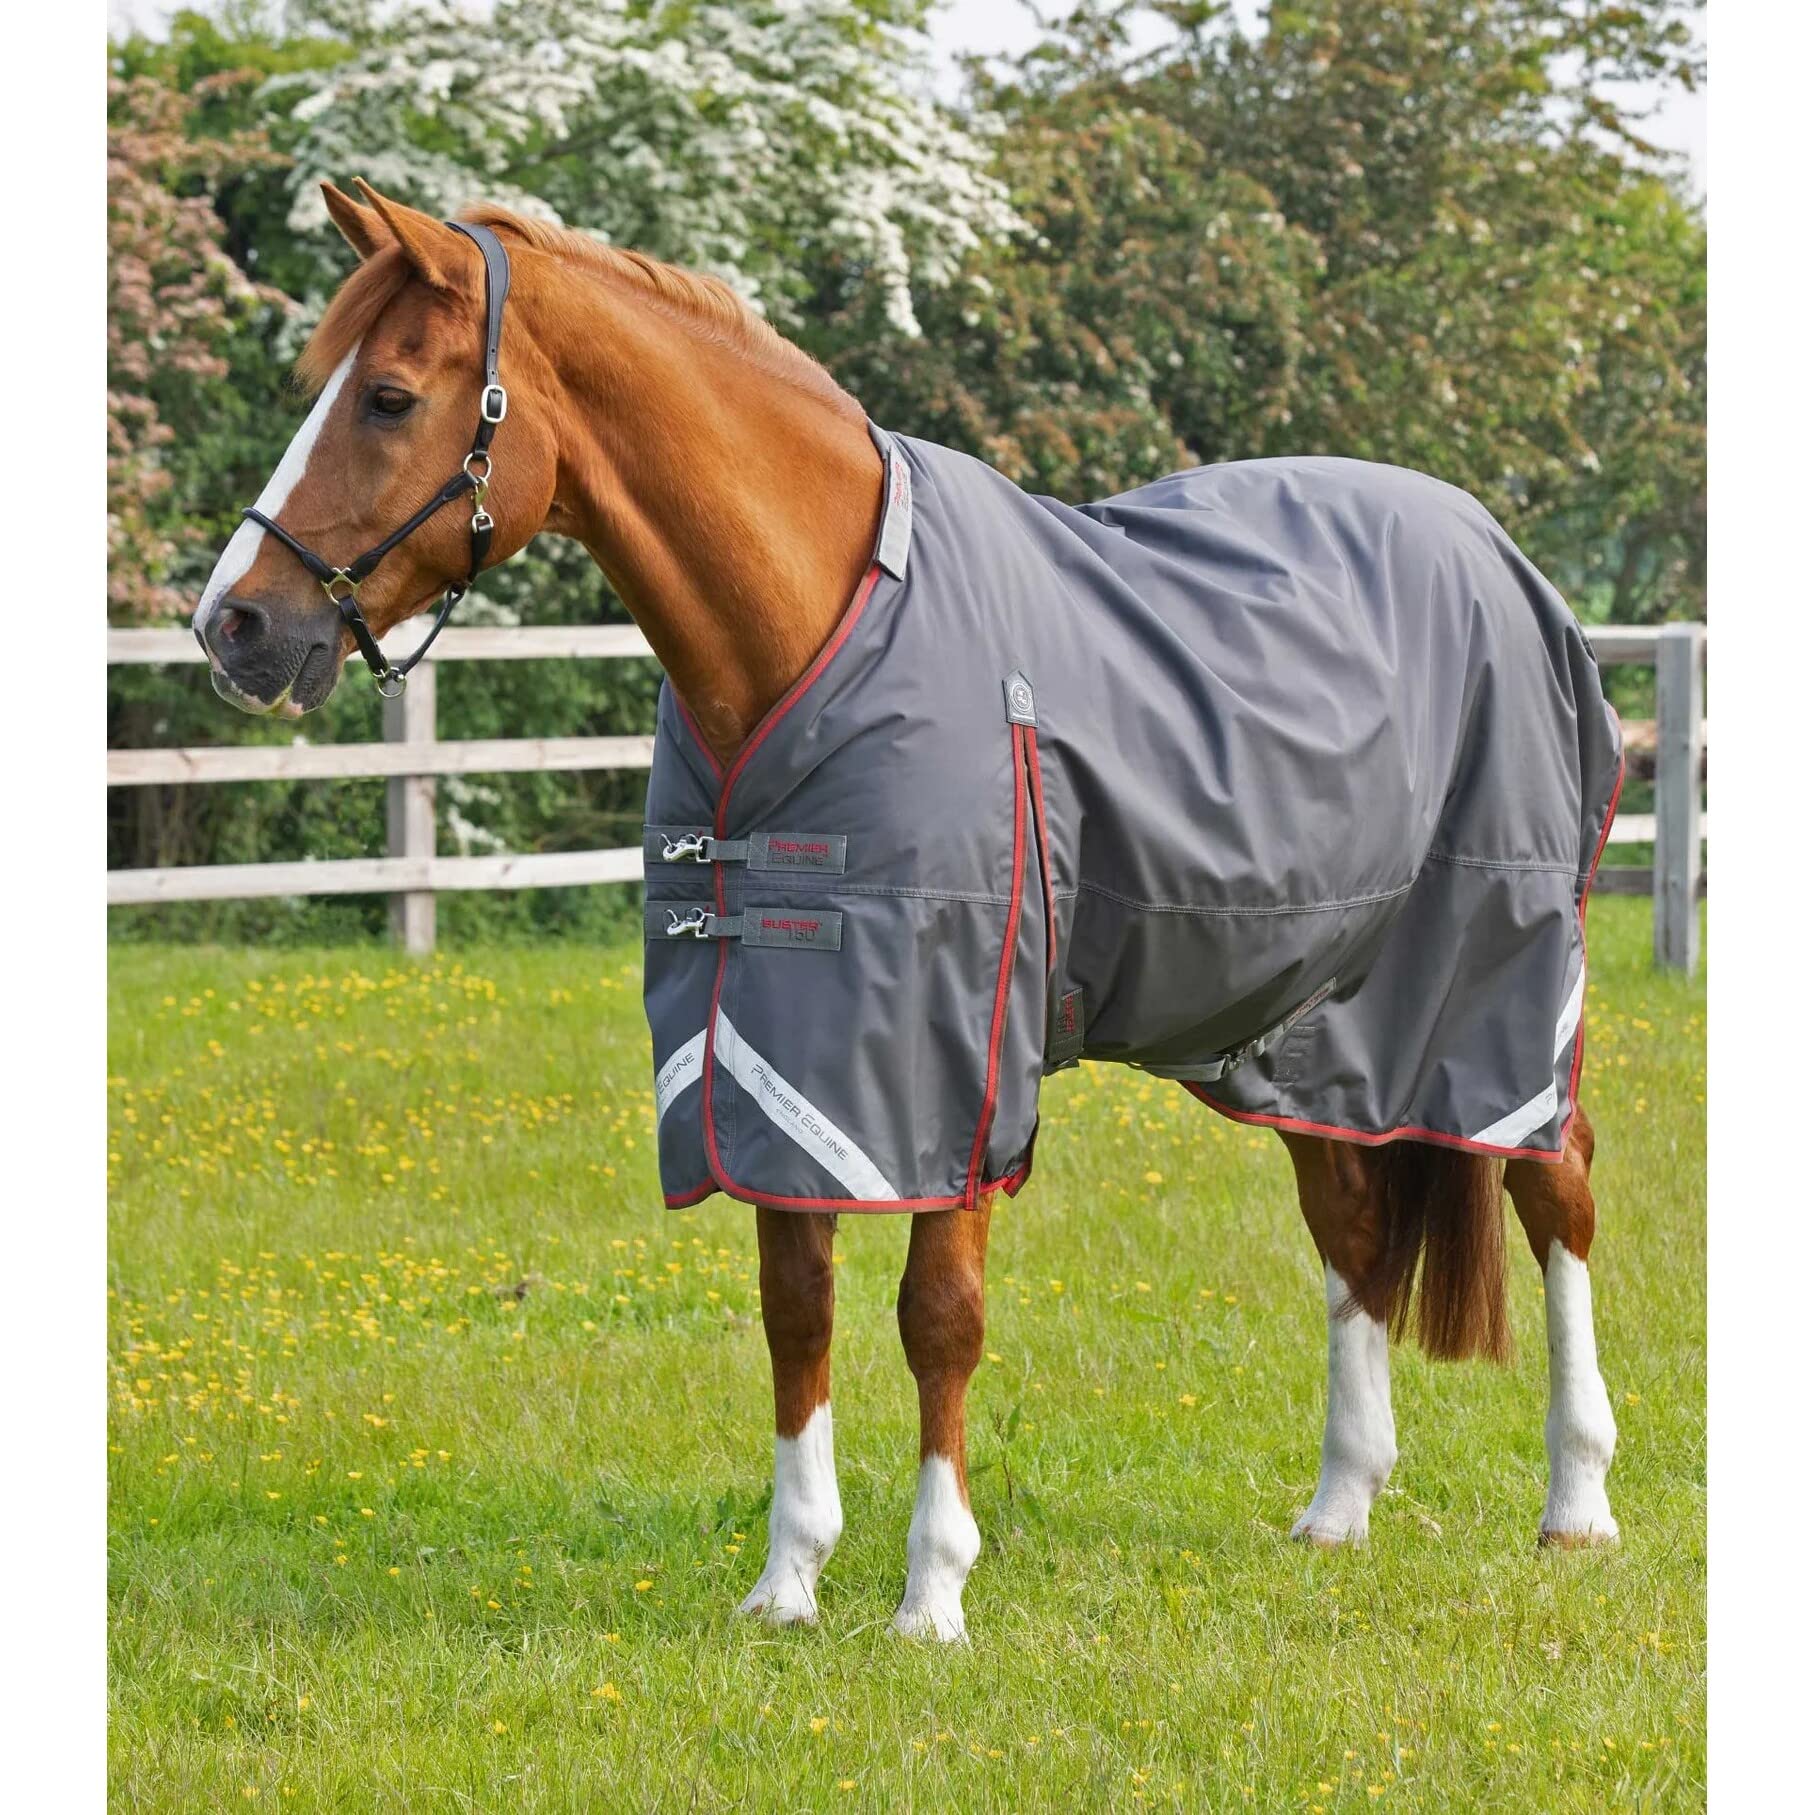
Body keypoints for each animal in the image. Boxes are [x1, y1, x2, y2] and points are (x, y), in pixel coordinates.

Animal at [193, 181, 1622, 1643]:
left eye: (387, 397)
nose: (230, 624)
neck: (815, 627)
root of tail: (1494, 549)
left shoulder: (956, 1054)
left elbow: (938, 1314)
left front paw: (932, 1591)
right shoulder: (775, 1046)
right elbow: (796, 1307)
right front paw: (788, 1580)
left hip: (1500, 987)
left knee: (1554, 1188)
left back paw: (1575, 1500)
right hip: (1305, 1017)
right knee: (1349, 1221)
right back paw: (1340, 1502)